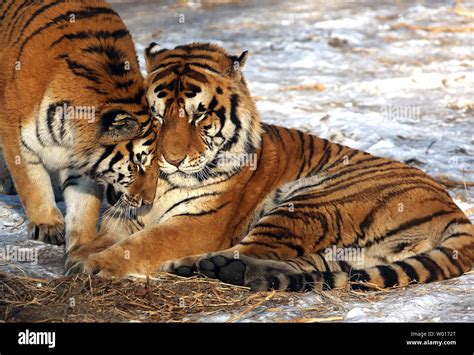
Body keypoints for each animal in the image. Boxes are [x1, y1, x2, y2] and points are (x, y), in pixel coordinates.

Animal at [0, 0, 159, 268]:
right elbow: (33, 184)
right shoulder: (17, 137)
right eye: (136, 165)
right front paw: (47, 225)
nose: (147, 203)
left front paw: (82, 246)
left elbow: (83, 206)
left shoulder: (81, 162)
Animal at [69, 42, 474, 292]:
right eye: (157, 114)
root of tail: (453, 207)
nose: (172, 159)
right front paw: (80, 255)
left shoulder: (200, 222)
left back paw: (206, 268)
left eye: (199, 114)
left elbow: (146, 242)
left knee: (253, 250)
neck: (165, 181)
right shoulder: (124, 215)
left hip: (311, 201)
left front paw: (96, 264)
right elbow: (100, 237)